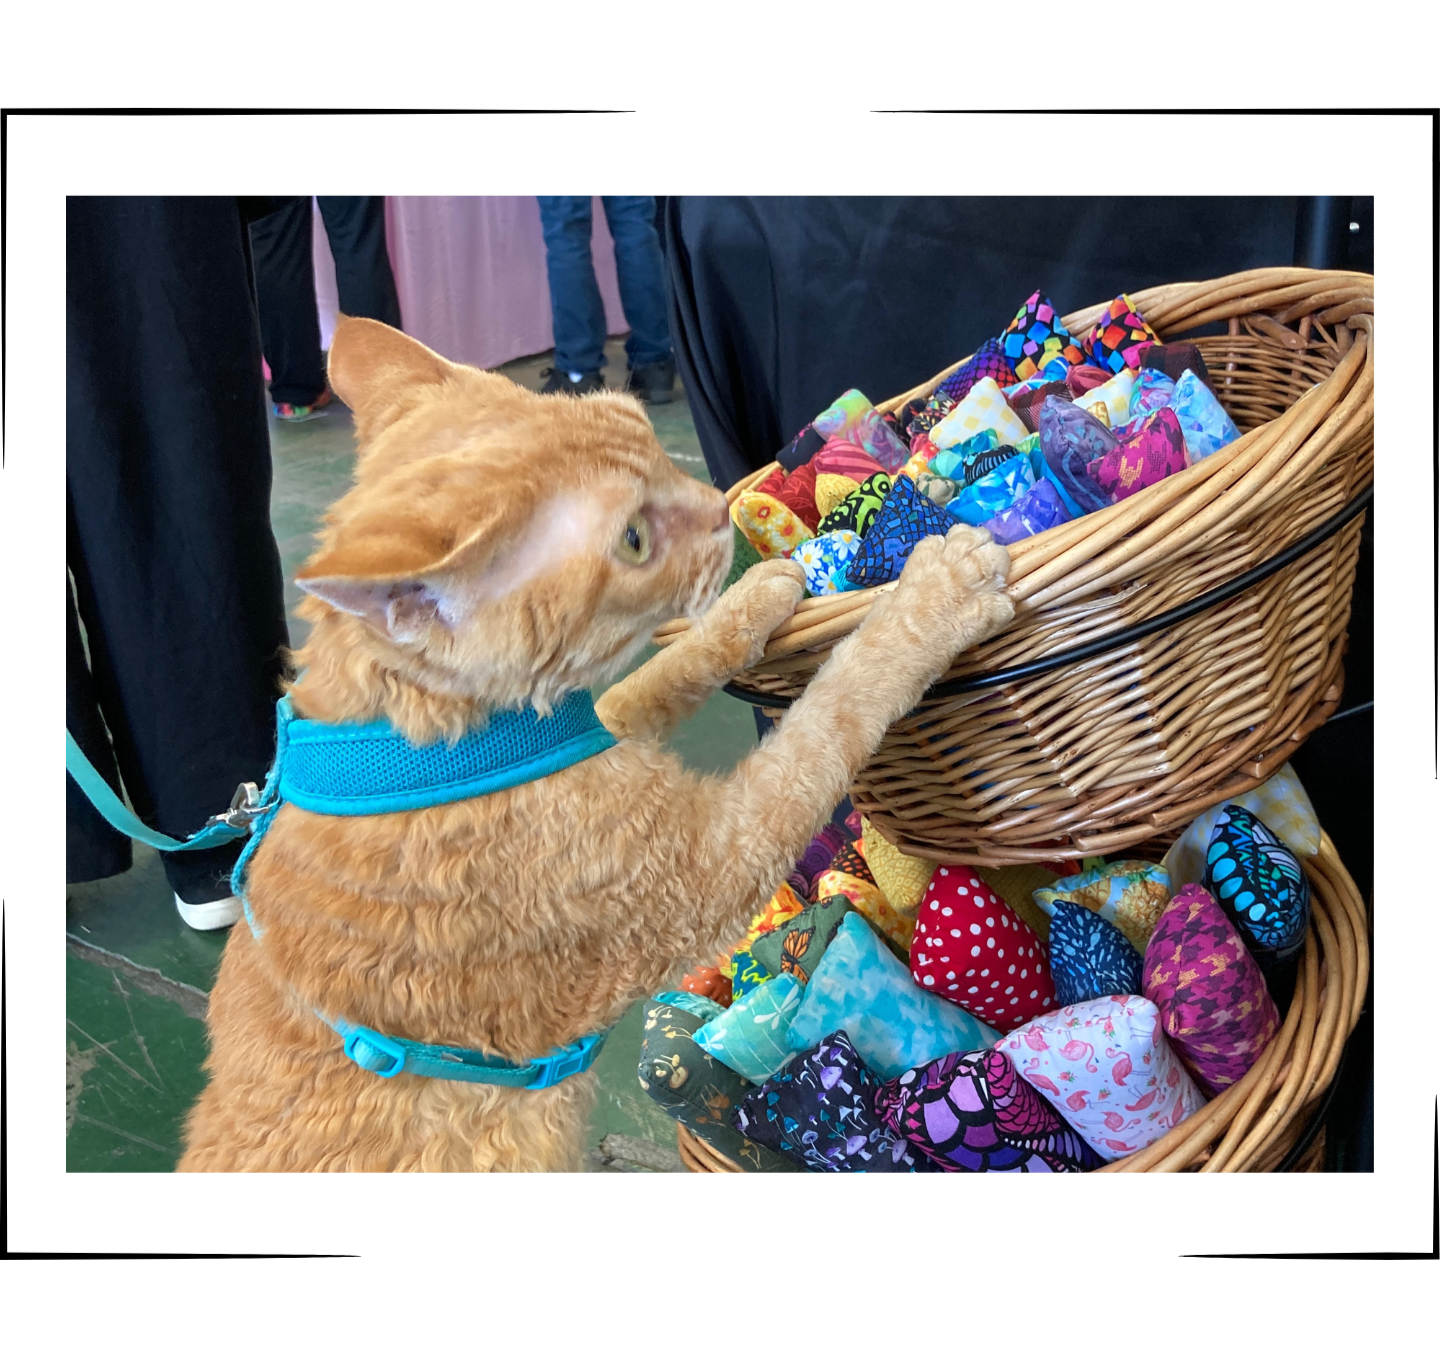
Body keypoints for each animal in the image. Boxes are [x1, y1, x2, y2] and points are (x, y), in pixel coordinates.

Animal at [177, 314, 1016, 1172]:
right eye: (634, 541)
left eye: (645, 430)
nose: (719, 508)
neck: (412, 752)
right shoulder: (710, 865)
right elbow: (836, 707)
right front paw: (933, 596)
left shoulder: (600, 722)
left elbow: (669, 669)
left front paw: (756, 593)